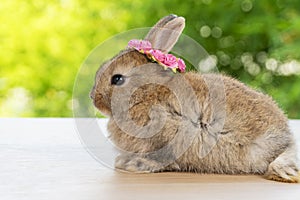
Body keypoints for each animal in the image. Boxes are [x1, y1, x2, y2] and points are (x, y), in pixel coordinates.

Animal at [90, 14, 298, 183]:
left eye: (117, 79)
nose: (94, 99)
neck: (148, 93)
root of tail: (285, 137)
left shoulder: (167, 138)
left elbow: (162, 159)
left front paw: (131, 164)